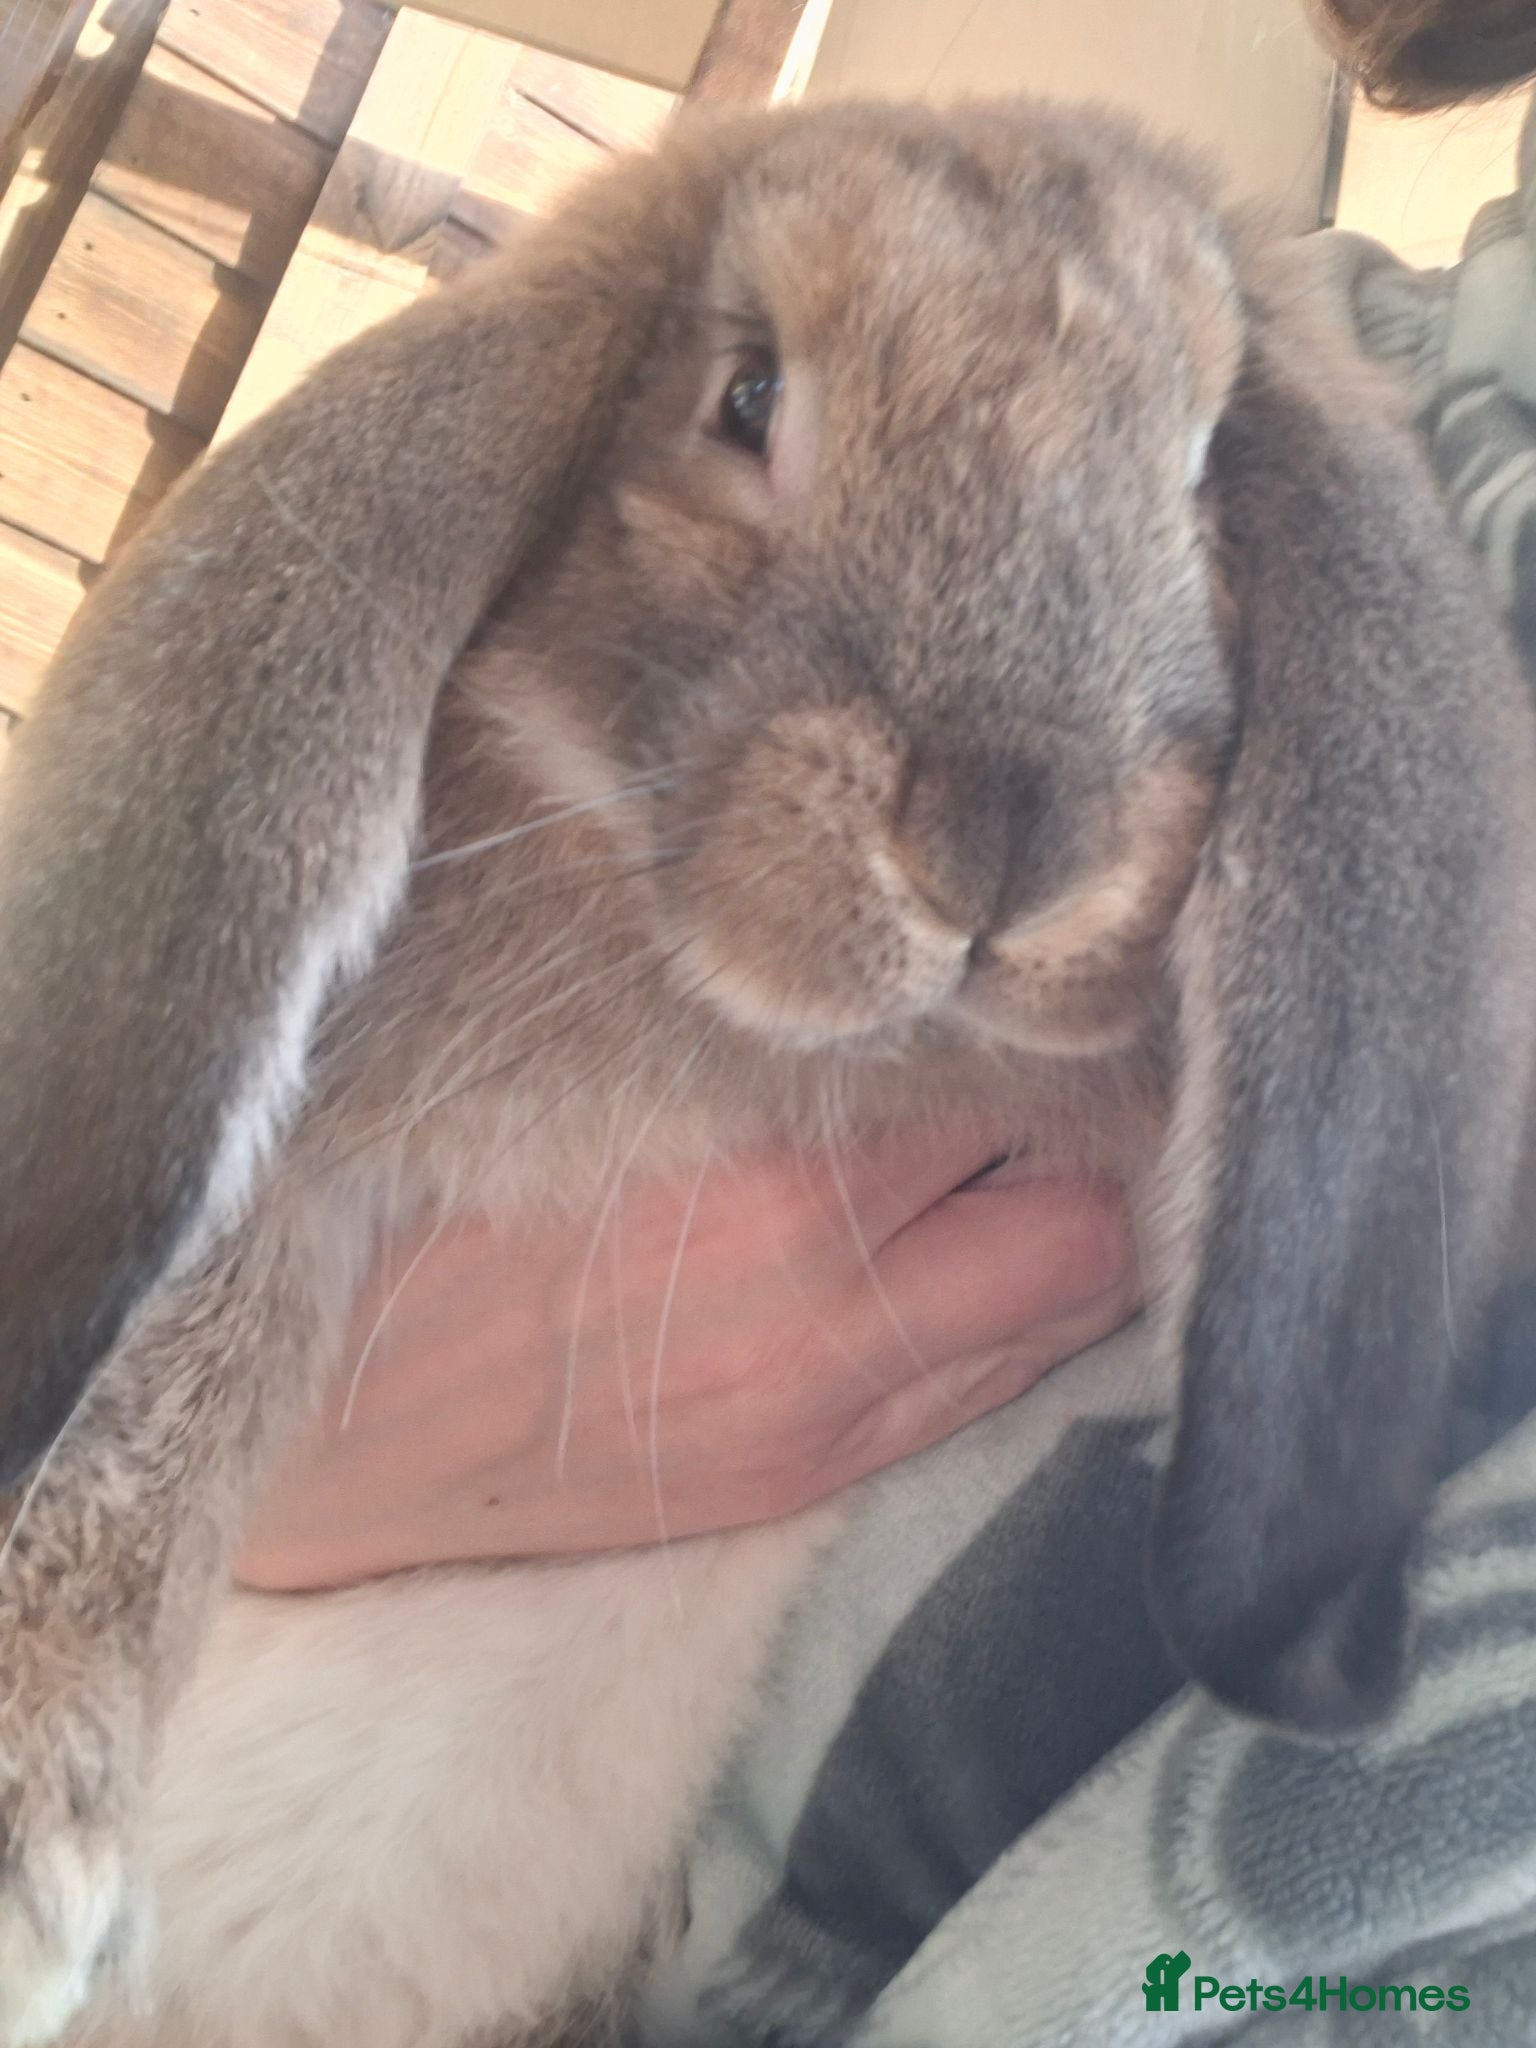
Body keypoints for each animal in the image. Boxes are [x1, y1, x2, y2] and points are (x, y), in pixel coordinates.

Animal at [0, 91, 1534, 2048]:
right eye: (745, 396)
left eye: (1202, 468)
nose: (1004, 843)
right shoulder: (299, 1160)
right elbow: (159, 1387)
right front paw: (31, 1854)